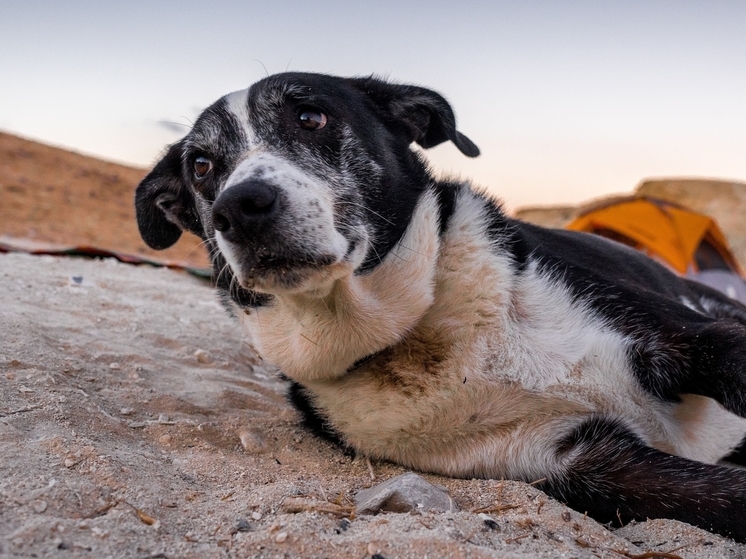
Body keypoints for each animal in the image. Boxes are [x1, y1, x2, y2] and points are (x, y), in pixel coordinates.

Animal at [134, 72, 744, 540]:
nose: (239, 208)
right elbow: (721, 494)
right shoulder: (585, 461)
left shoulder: (691, 338)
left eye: (310, 117)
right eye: (202, 166)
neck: (419, 331)